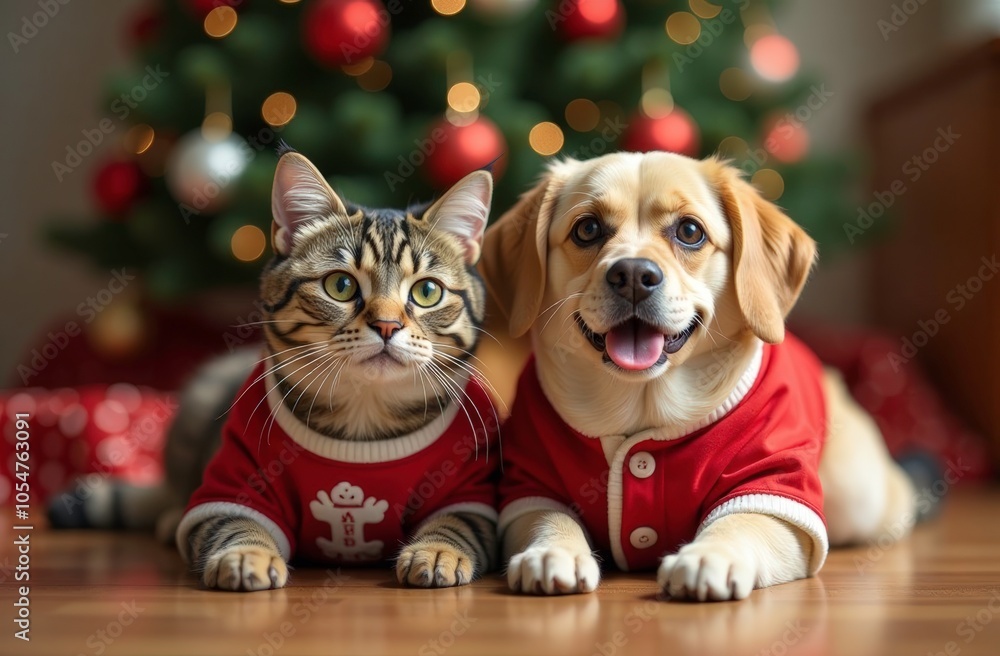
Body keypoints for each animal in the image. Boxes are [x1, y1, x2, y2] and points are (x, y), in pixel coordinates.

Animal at [50, 147, 500, 588]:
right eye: (341, 285)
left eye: (427, 292)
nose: (387, 325)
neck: (363, 421)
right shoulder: (235, 482)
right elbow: (235, 524)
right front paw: (247, 555)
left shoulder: (470, 493)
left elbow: (457, 523)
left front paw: (437, 550)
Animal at [480, 152, 916, 600]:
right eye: (587, 229)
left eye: (690, 231)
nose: (633, 274)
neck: (643, 407)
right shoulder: (530, 484)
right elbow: (549, 520)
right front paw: (553, 551)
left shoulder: (775, 486)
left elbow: (740, 523)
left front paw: (709, 556)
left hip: (857, 497)